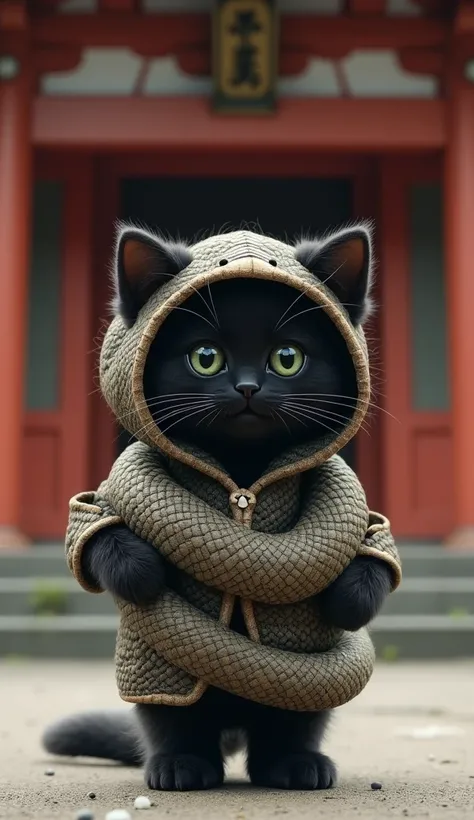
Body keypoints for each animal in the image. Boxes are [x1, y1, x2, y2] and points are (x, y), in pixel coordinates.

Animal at [43, 223, 392, 788]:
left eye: (287, 357)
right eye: (205, 357)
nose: (247, 387)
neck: (242, 476)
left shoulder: (371, 529)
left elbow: (376, 544)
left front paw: (349, 603)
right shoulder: (97, 509)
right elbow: (93, 529)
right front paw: (141, 573)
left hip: (295, 700)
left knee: (289, 725)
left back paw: (296, 766)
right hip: (158, 679)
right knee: (173, 720)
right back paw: (181, 767)